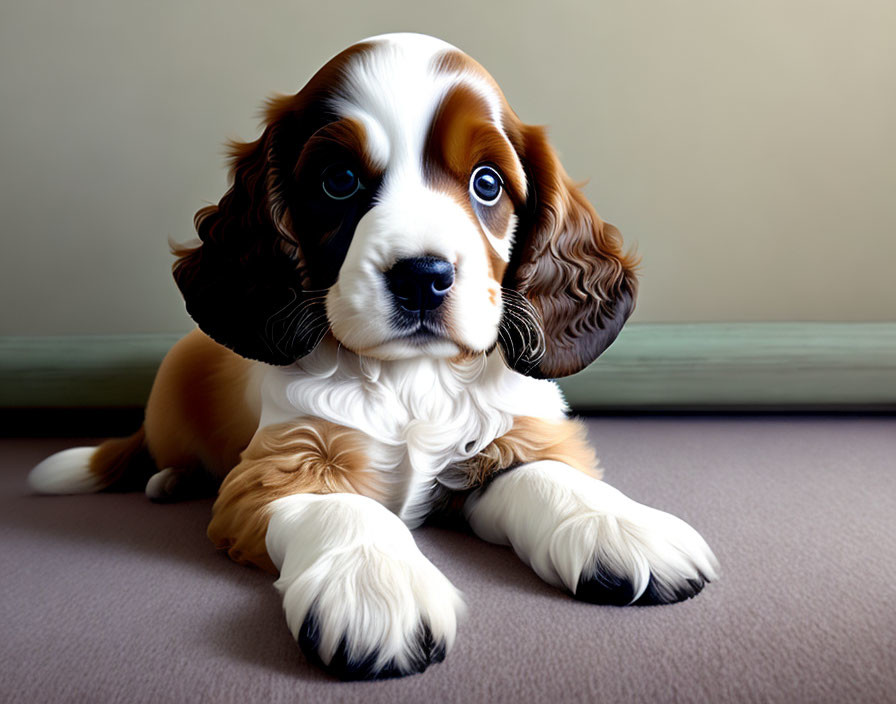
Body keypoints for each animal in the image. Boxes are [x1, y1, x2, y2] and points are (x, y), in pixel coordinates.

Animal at [29, 34, 720, 680]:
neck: (414, 380)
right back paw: (170, 480)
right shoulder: (279, 464)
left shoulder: (515, 435)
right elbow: (343, 508)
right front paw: (375, 589)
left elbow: (549, 475)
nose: (423, 277)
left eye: (487, 183)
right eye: (339, 182)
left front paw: (620, 527)